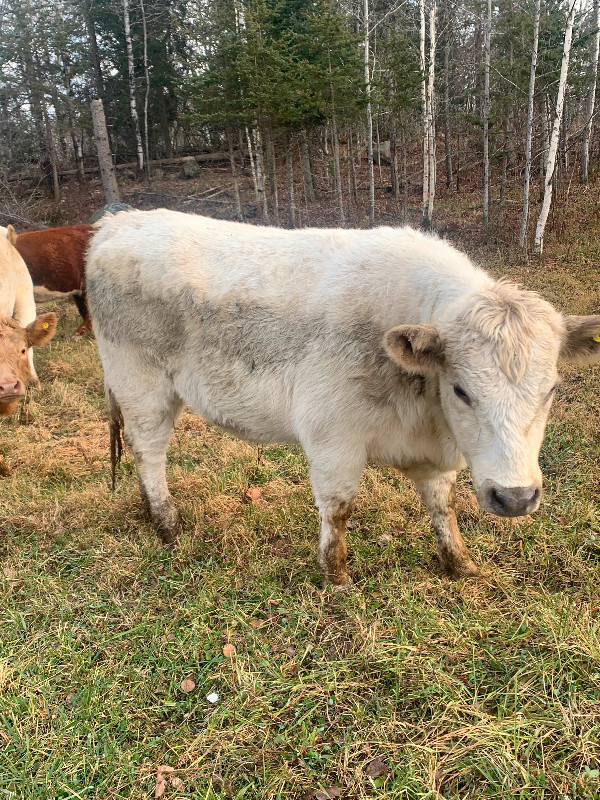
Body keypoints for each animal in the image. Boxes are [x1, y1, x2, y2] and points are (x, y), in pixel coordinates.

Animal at [86, 211, 600, 588]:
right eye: (461, 390)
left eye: (552, 389)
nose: (515, 498)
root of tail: (118, 222)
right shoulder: (333, 437)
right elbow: (338, 508)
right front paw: (337, 578)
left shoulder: (434, 455)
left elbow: (442, 507)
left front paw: (461, 564)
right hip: (142, 386)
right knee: (148, 453)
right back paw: (166, 525)